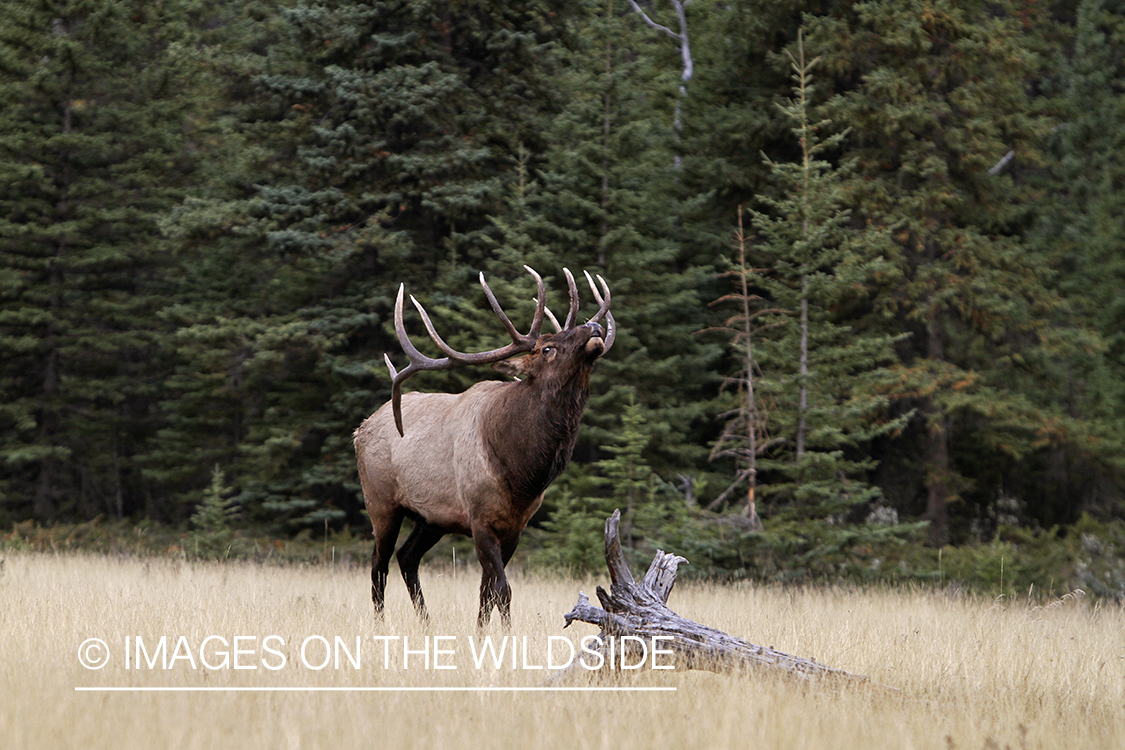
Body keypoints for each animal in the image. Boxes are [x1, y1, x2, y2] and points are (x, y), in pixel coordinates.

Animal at [351, 265, 616, 629]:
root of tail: (359, 430)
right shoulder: (479, 517)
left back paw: (427, 622)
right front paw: (505, 634)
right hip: (381, 501)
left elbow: (486, 591)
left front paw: (480, 633)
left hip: (431, 518)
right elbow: (502, 589)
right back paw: (380, 624)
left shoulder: (516, 526)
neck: (522, 471)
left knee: (407, 557)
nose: (592, 325)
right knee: (379, 564)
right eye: (547, 348)